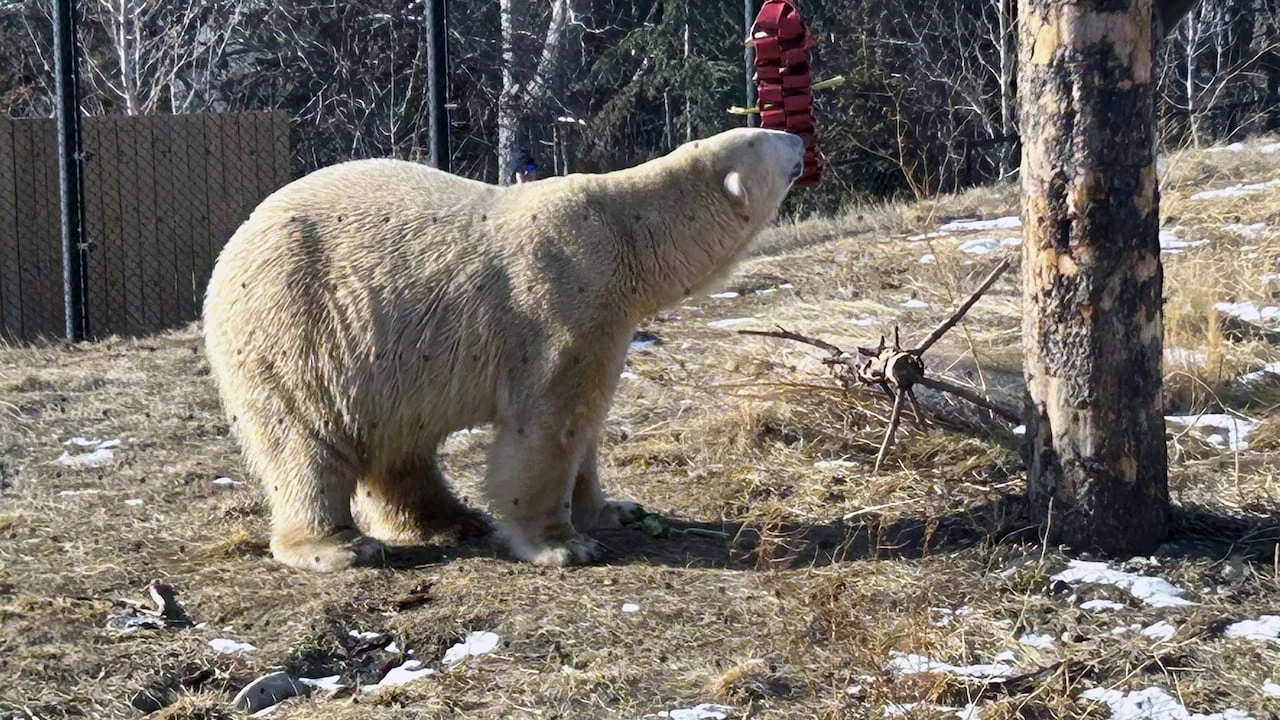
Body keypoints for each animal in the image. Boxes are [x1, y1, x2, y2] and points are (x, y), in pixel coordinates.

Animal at [201, 126, 806, 572]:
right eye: (767, 135)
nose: (800, 138)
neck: (628, 232)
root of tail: (229, 250)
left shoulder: (609, 321)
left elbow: (587, 425)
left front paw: (615, 509)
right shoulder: (563, 296)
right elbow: (547, 425)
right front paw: (563, 544)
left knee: (397, 443)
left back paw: (449, 519)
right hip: (296, 329)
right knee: (305, 440)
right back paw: (340, 546)